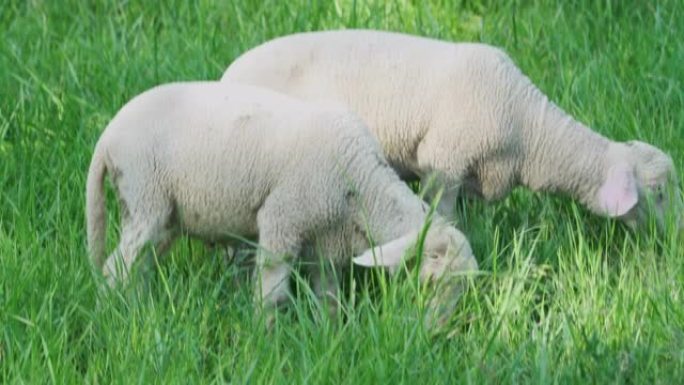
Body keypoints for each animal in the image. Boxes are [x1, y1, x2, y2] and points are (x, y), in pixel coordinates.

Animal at [85, 82, 478, 320]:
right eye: (435, 282)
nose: (436, 333)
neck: (362, 185)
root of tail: (107, 137)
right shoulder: (282, 219)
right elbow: (272, 290)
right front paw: (265, 333)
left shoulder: (327, 239)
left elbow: (328, 292)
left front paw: (327, 329)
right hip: (145, 195)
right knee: (115, 268)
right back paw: (112, 315)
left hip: (157, 211)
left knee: (139, 265)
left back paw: (138, 307)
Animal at [222, 29, 680, 231]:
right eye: (658, 194)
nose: (674, 241)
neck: (530, 131)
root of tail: (227, 76)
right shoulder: (443, 159)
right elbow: (442, 213)